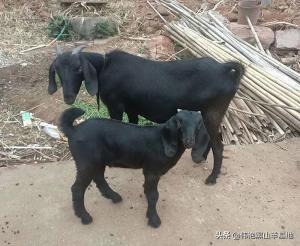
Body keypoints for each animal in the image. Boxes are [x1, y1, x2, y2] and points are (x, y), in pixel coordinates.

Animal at [49, 46, 245, 184]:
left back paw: (212, 178)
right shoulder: (132, 109)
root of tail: (226, 70)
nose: (68, 97)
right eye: (57, 69)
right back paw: (200, 158)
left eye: (78, 68)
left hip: (212, 112)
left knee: (219, 145)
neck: (104, 67)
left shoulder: (115, 106)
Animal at [60, 108, 210, 229]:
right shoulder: (152, 170)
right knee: (77, 189)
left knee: (99, 178)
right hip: (86, 162)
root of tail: (73, 130)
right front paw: (153, 219)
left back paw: (114, 196)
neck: (163, 141)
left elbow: (148, 190)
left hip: (97, 162)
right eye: (179, 123)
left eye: (198, 124)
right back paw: (84, 217)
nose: (189, 141)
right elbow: (154, 195)